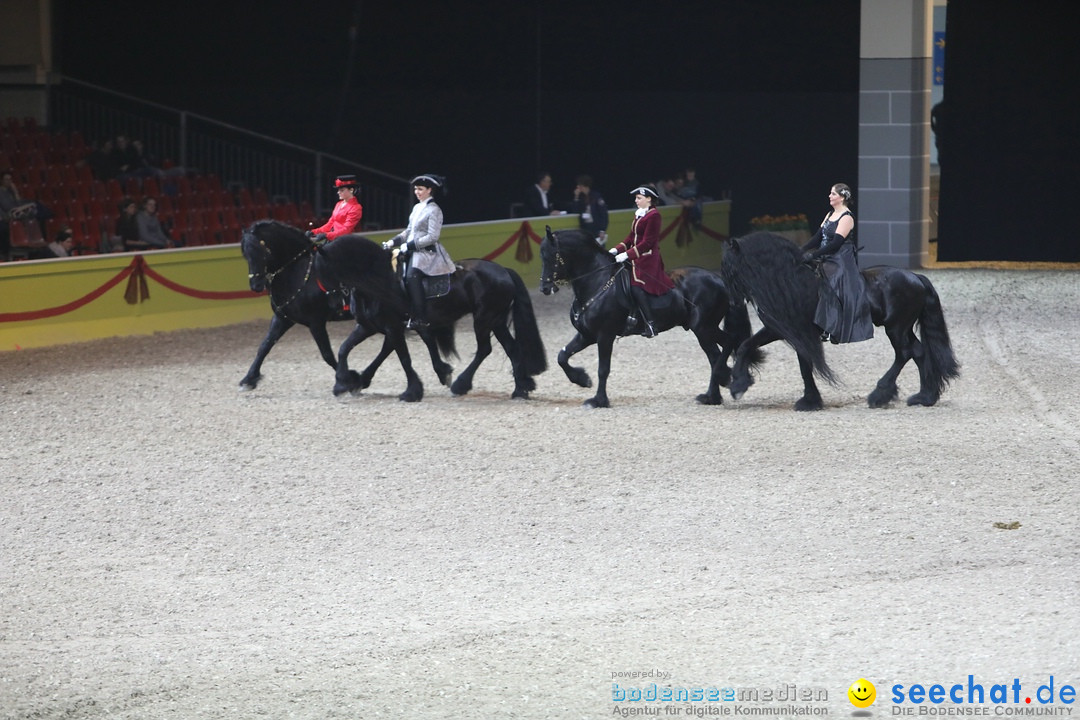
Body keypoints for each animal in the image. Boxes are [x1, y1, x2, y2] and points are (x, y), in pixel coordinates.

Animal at [240, 220, 421, 399]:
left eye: (262, 251)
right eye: (245, 254)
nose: (256, 285)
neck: (298, 272)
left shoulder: (316, 322)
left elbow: (327, 354)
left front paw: (348, 380)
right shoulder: (282, 318)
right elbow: (264, 346)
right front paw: (248, 379)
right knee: (389, 343)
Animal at [537, 227, 756, 408]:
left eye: (551, 256)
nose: (545, 289)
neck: (598, 282)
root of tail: (718, 279)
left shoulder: (605, 335)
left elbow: (603, 369)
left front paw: (599, 400)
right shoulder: (587, 335)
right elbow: (562, 356)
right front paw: (582, 379)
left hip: (703, 328)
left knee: (722, 348)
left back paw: (720, 383)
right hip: (705, 329)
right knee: (720, 350)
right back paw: (714, 394)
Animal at [721, 232, 959, 410]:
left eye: (731, 269)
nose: (732, 303)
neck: (790, 282)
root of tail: (915, 277)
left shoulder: (790, 330)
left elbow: (801, 364)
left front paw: (739, 386)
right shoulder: (788, 331)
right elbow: (749, 347)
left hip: (895, 328)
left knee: (905, 353)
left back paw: (879, 394)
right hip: (903, 327)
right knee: (918, 351)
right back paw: (924, 397)